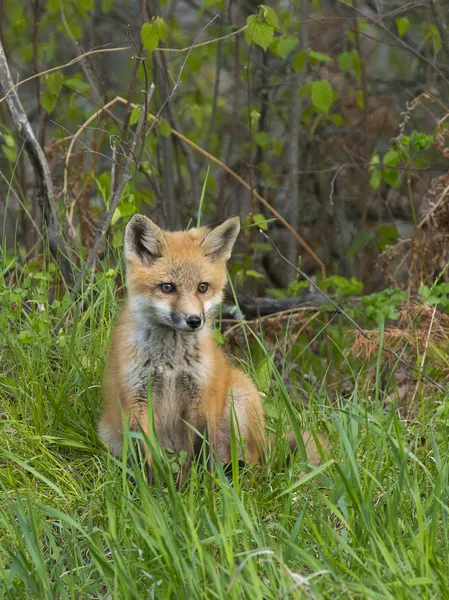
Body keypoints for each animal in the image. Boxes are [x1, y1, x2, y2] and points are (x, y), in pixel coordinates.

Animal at [99, 213, 322, 480]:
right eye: (167, 287)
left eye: (202, 287)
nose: (194, 320)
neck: (171, 363)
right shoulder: (135, 401)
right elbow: (143, 457)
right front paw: (152, 487)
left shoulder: (202, 399)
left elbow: (201, 451)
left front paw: (201, 487)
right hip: (108, 435)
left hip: (239, 401)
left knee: (251, 465)